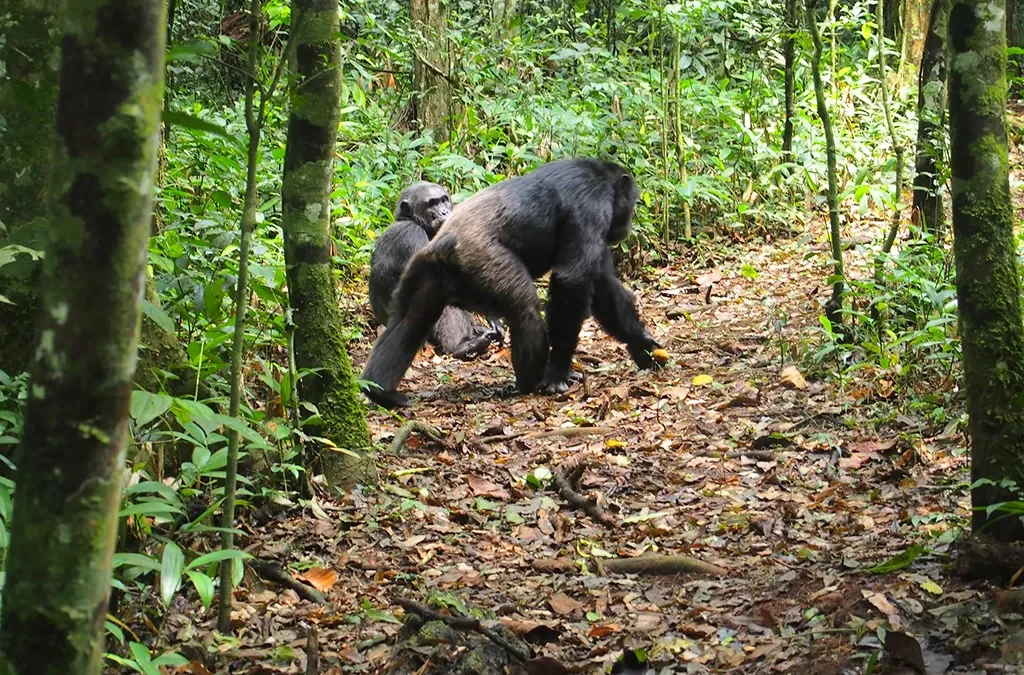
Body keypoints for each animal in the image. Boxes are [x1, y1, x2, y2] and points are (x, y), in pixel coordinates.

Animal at [368, 181, 504, 362]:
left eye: (443, 200)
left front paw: (493, 316)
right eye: (432, 203)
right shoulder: (410, 235)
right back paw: (462, 346)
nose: (444, 211)